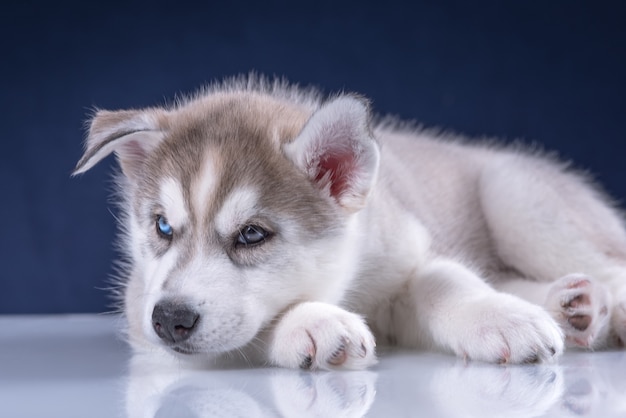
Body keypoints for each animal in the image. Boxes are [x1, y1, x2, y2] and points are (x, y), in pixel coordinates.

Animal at [74, 75, 624, 370]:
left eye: (252, 234)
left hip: (516, 197)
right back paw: (574, 306)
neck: (348, 282)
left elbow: (447, 280)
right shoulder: (140, 306)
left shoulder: (409, 253)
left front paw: (499, 317)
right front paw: (312, 322)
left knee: (610, 263)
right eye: (163, 227)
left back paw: (595, 309)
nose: (170, 319)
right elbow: (249, 332)